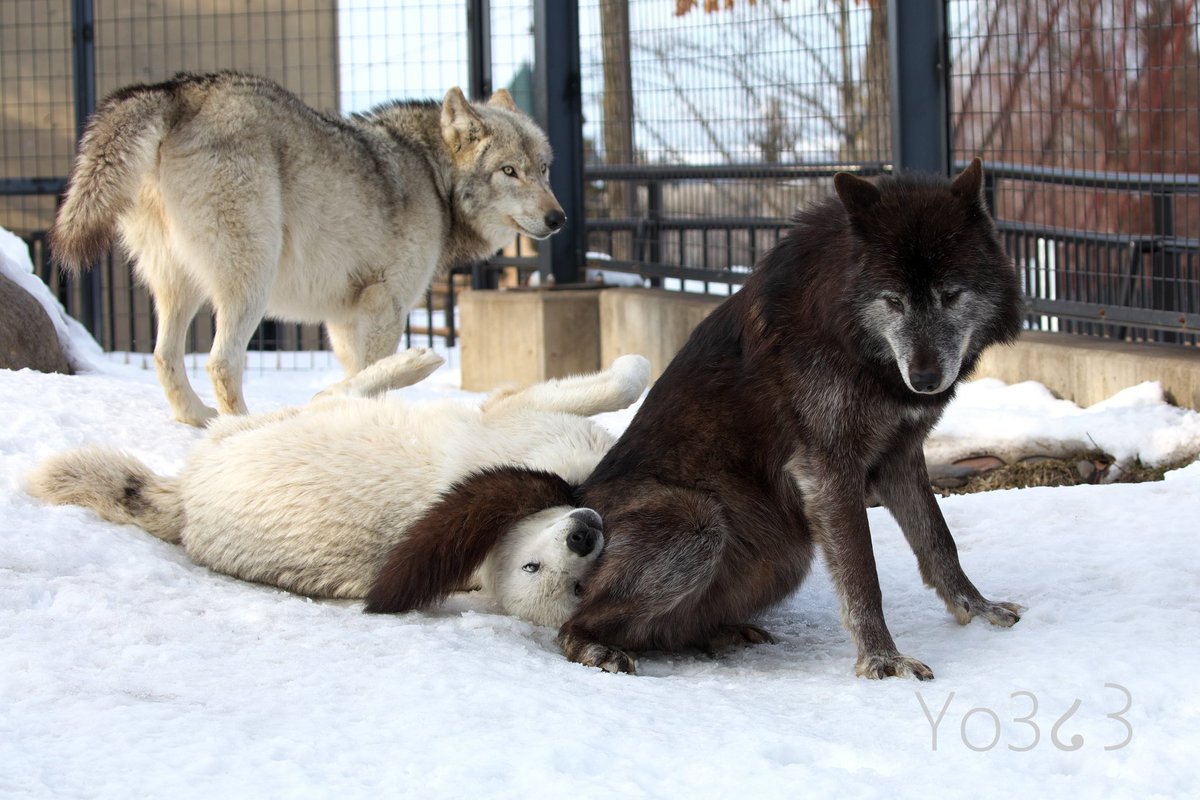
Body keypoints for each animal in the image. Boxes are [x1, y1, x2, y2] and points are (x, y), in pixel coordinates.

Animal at [27, 350, 651, 628]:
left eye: (579, 587)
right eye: (532, 568)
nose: (582, 537)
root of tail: (182, 505)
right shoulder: (516, 413)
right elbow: (629, 377)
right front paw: (631, 359)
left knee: (330, 391)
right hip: (288, 420)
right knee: (332, 390)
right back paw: (414, 361)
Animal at [49, 71, 564, 425]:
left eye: (543, 169)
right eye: (509, 171)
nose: (558, 219)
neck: (433, 176)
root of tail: (179, 90)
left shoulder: (345, 319)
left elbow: (357, 372)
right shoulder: (386, 306)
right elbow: (375, 374)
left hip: (179, 287)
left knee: (164, 356)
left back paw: (196, 419)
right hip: (249, 283)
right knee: (221, 362)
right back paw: (242, 428)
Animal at [541, 159, 1022, 677]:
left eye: (951, 295)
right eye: (893, 301)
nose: (925, 379)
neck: (852, 337)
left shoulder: (900, 455)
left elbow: (939, 541)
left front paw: (977, 608)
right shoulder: (827, 469)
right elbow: (863, 574)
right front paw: (882, 659)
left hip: (785, 555)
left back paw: (722, 634)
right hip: (699, 524)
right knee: (570, 625)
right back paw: (597, 649)